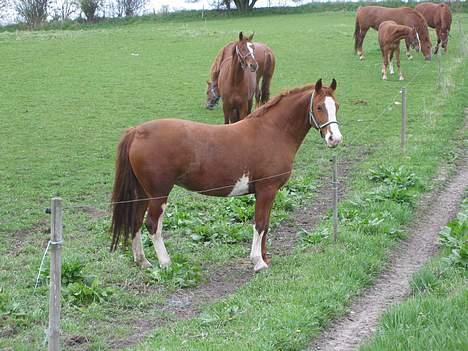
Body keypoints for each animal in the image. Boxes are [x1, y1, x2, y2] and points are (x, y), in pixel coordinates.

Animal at [110, 79, 344, 272]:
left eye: (337, 106)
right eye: (319, 107)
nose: (335, 139)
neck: (272, 131)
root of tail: (137, 131)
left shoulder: (266, 193)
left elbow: (266, 224)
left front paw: (265, 258)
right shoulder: (267, 190)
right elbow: (260, 224)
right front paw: (258, 262)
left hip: (142, 193)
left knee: (135, 221)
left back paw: (143, 261)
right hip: (159, 195)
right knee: (152, 224)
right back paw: (165, 262)